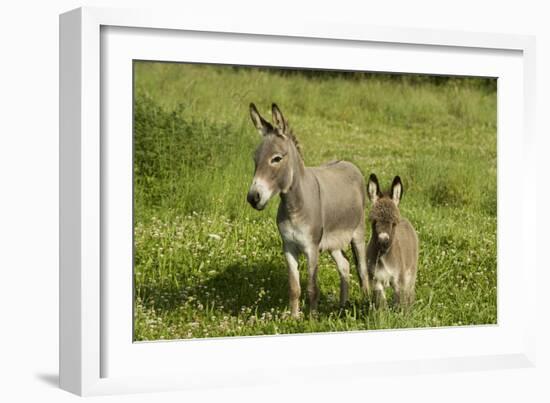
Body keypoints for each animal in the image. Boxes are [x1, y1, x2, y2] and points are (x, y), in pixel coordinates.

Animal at [368, 174, 420, 310]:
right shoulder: (376, 281)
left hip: (410, 272)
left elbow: (401, 305)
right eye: (373, 222)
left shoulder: (399, 282)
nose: (383, 242)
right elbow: (381, 306)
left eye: (393, 223)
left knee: (410, 293)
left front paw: (403, 315)